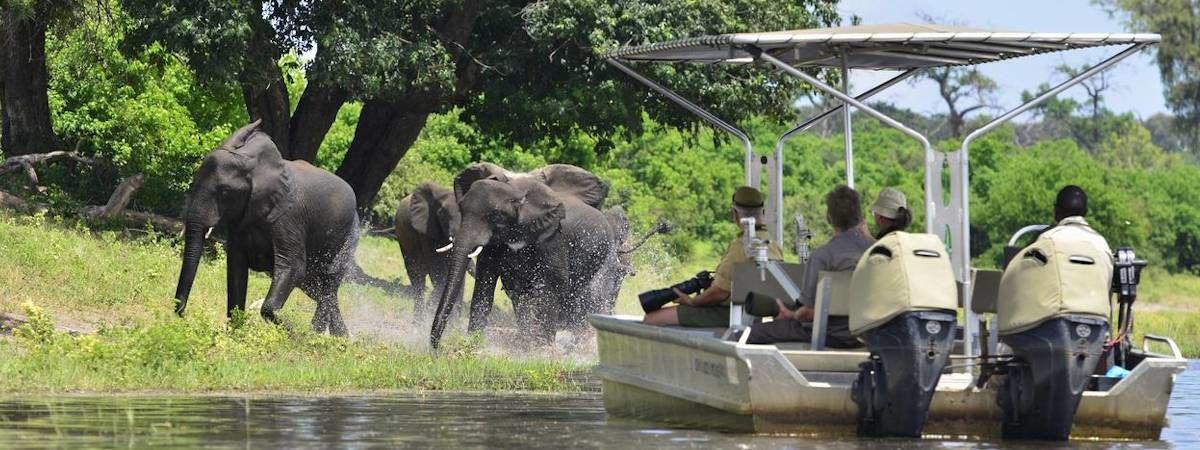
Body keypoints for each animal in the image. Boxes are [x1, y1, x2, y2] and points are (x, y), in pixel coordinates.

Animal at [174, 121, 357, 336]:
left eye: (225, 192)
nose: (183, 316)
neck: (254, 165)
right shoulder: (240, 219)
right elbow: (236, 266)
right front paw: (237, 333)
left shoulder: (289, 217)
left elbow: (293, 266)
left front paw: (290, 332)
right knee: (318, 289)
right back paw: (341, 338)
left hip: (348, 236)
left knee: (328, 282)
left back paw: (316, 335)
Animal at [429, 164, 619, 348]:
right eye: (461, 210)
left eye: (496, 217)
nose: (436, 349)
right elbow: (486, 285)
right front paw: (475, 345)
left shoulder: (553, 238)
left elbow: (553, 284)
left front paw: (541, 351)